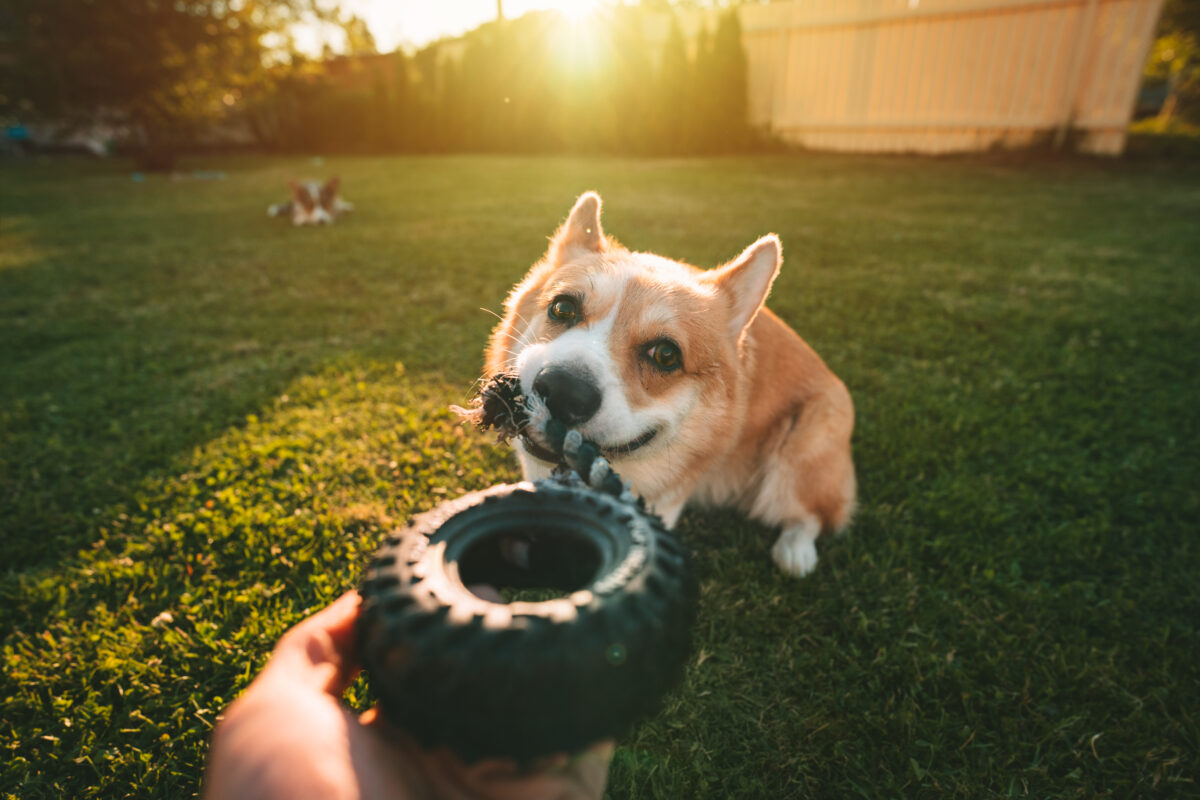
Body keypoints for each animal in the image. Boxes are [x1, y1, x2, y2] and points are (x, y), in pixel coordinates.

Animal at [482, 195, 859, 582]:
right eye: (562, 307)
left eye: (666, 354)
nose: (561, 391)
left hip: (799, 456)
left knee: (810, 514)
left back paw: (796, 552)